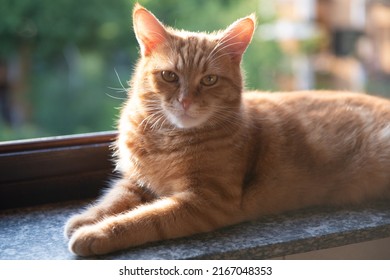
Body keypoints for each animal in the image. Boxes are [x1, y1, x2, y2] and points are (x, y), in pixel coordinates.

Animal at [64, 3, 390, 256]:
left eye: (209, 80)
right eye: (169, 76)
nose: (185, 101)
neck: (167, 138)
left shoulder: (204, 202)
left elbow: (144, 218)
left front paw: (96, 234)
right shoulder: (136, 181)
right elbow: (114, 198)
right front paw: (85, 219)